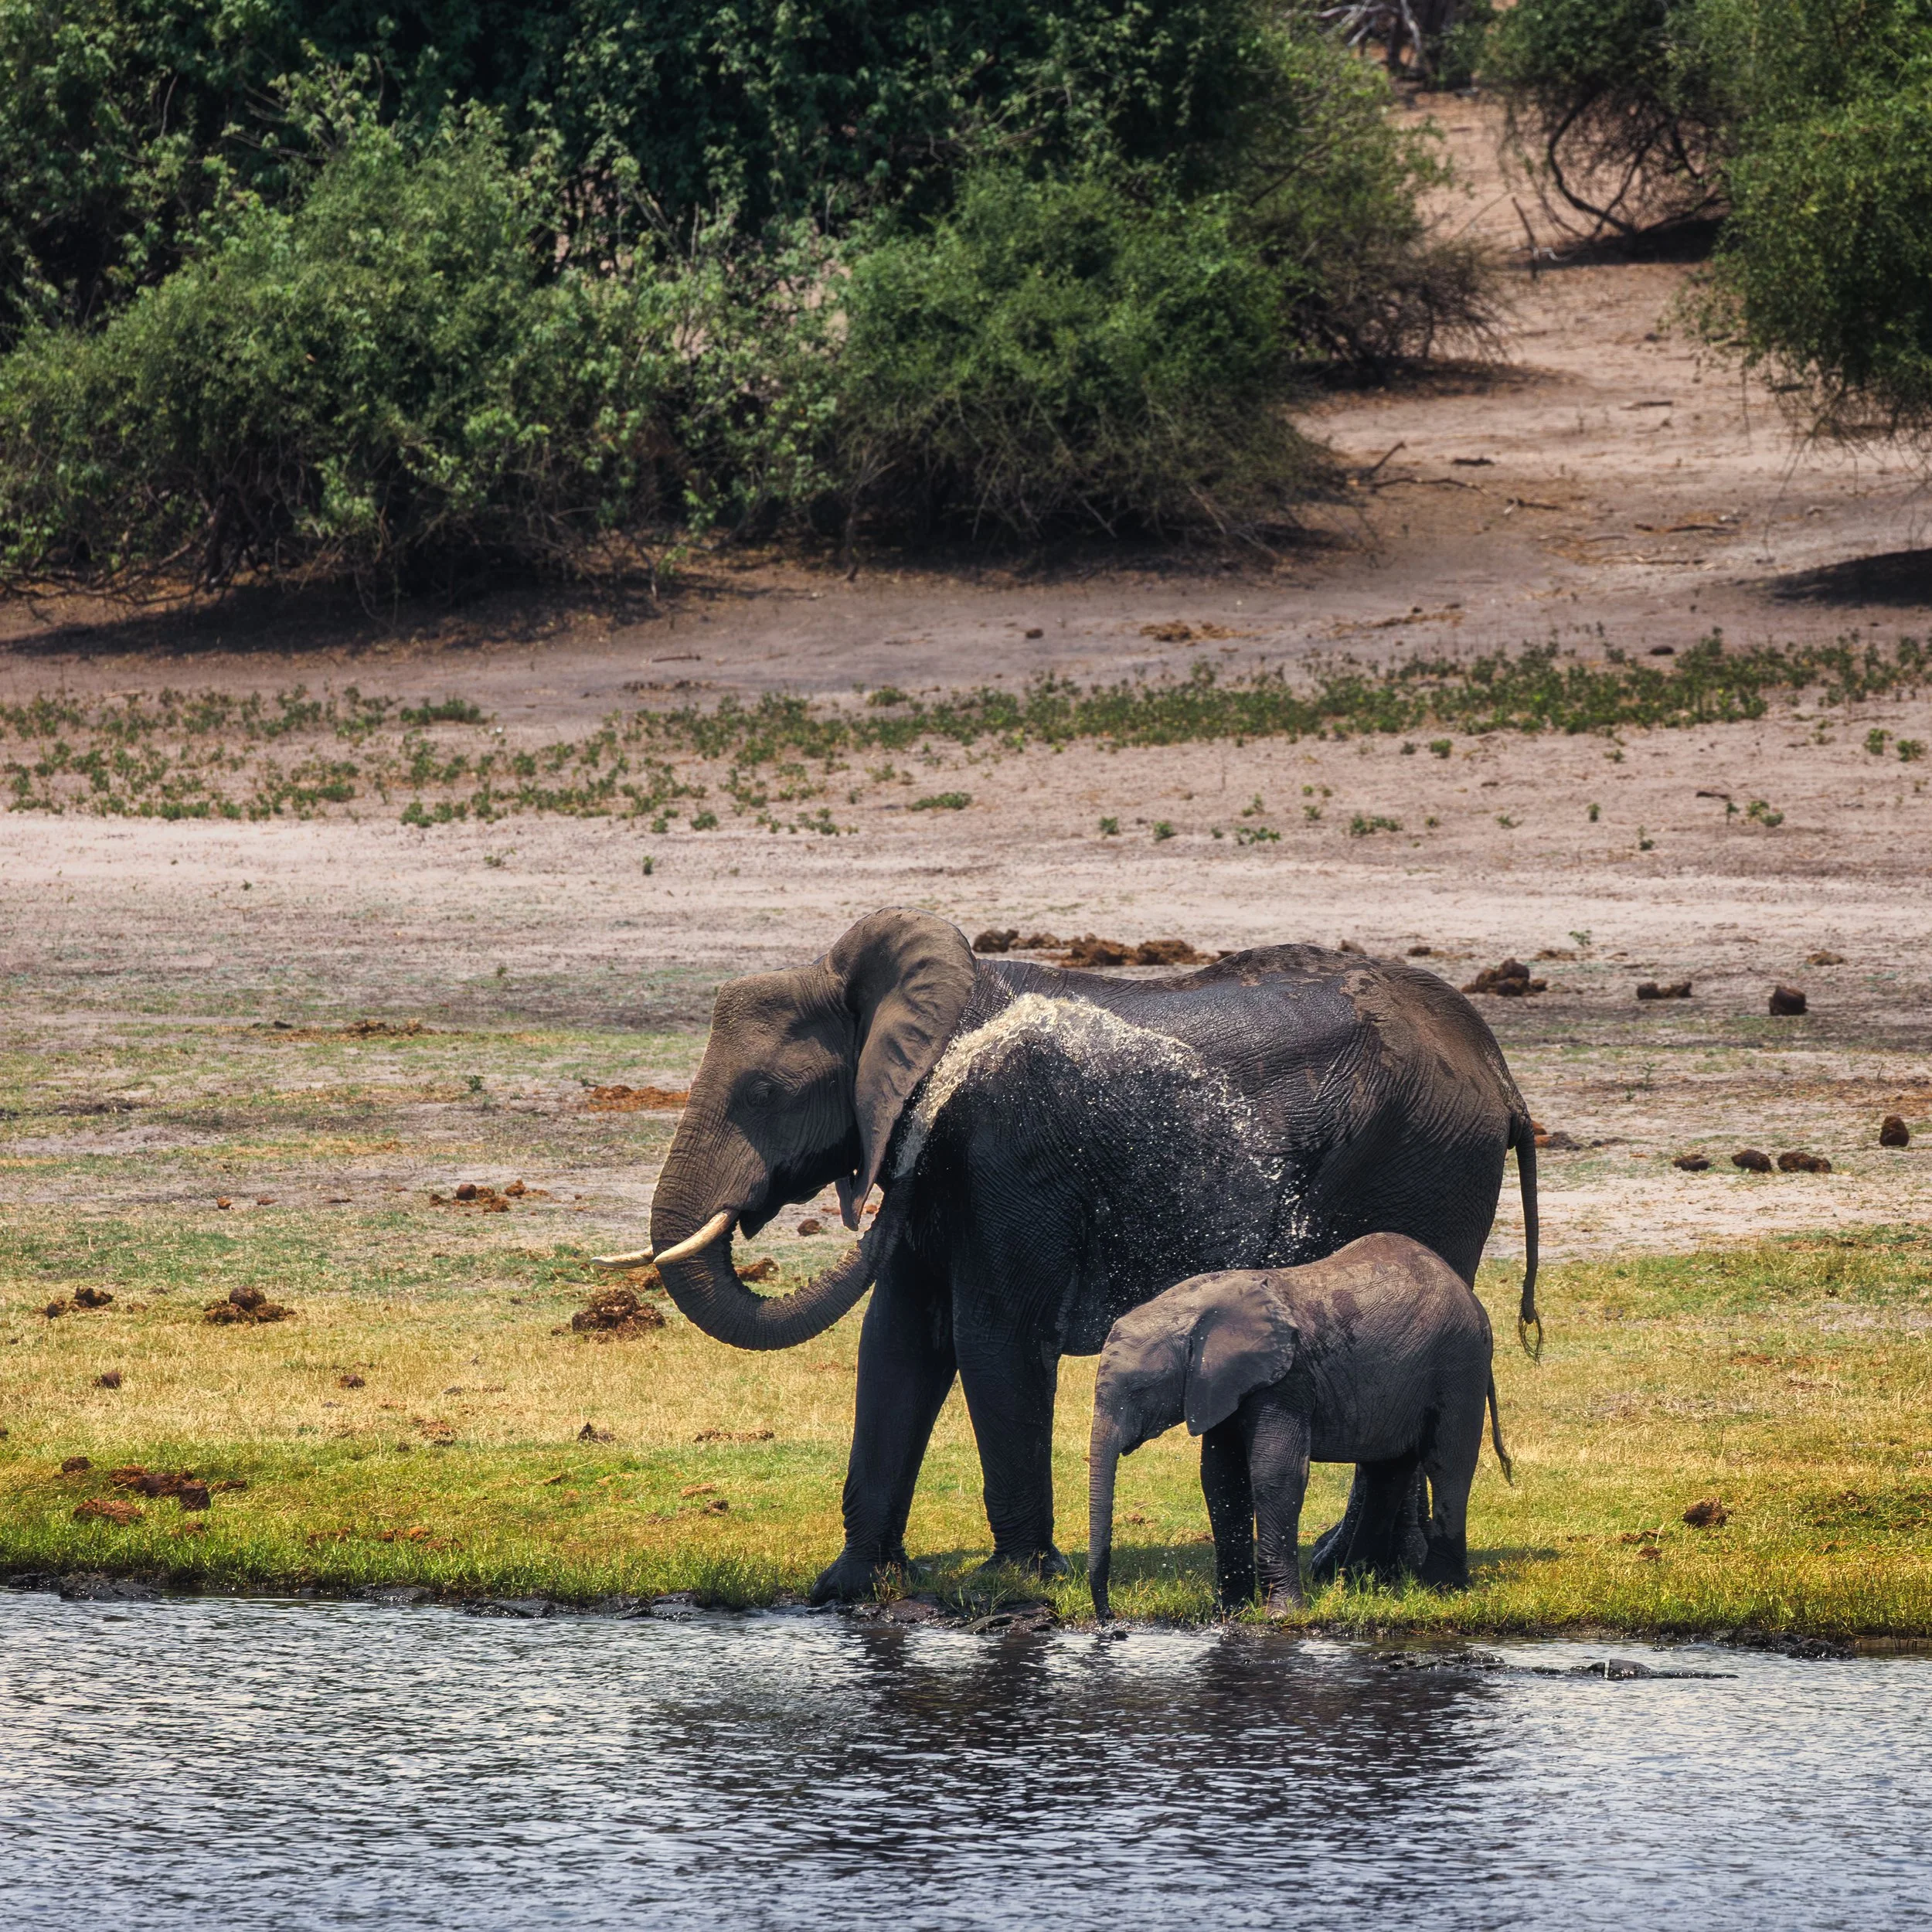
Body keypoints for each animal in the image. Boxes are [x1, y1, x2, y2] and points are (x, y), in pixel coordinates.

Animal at [1085, 1233, 1513, 1622]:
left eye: (1139, 1390)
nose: (1109, 1619)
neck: (1189, 1309)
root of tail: (1467, 1293)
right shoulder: (1219, 1385)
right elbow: (1221, 1479)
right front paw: (1229, 1612)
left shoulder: (1287, 1379)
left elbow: (1275, 1473)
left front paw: (1281, 1617)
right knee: (1386, 1471)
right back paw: (1359, 1584)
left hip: (1461, 1365)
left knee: (1448, 1465)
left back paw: (1441, 1589)